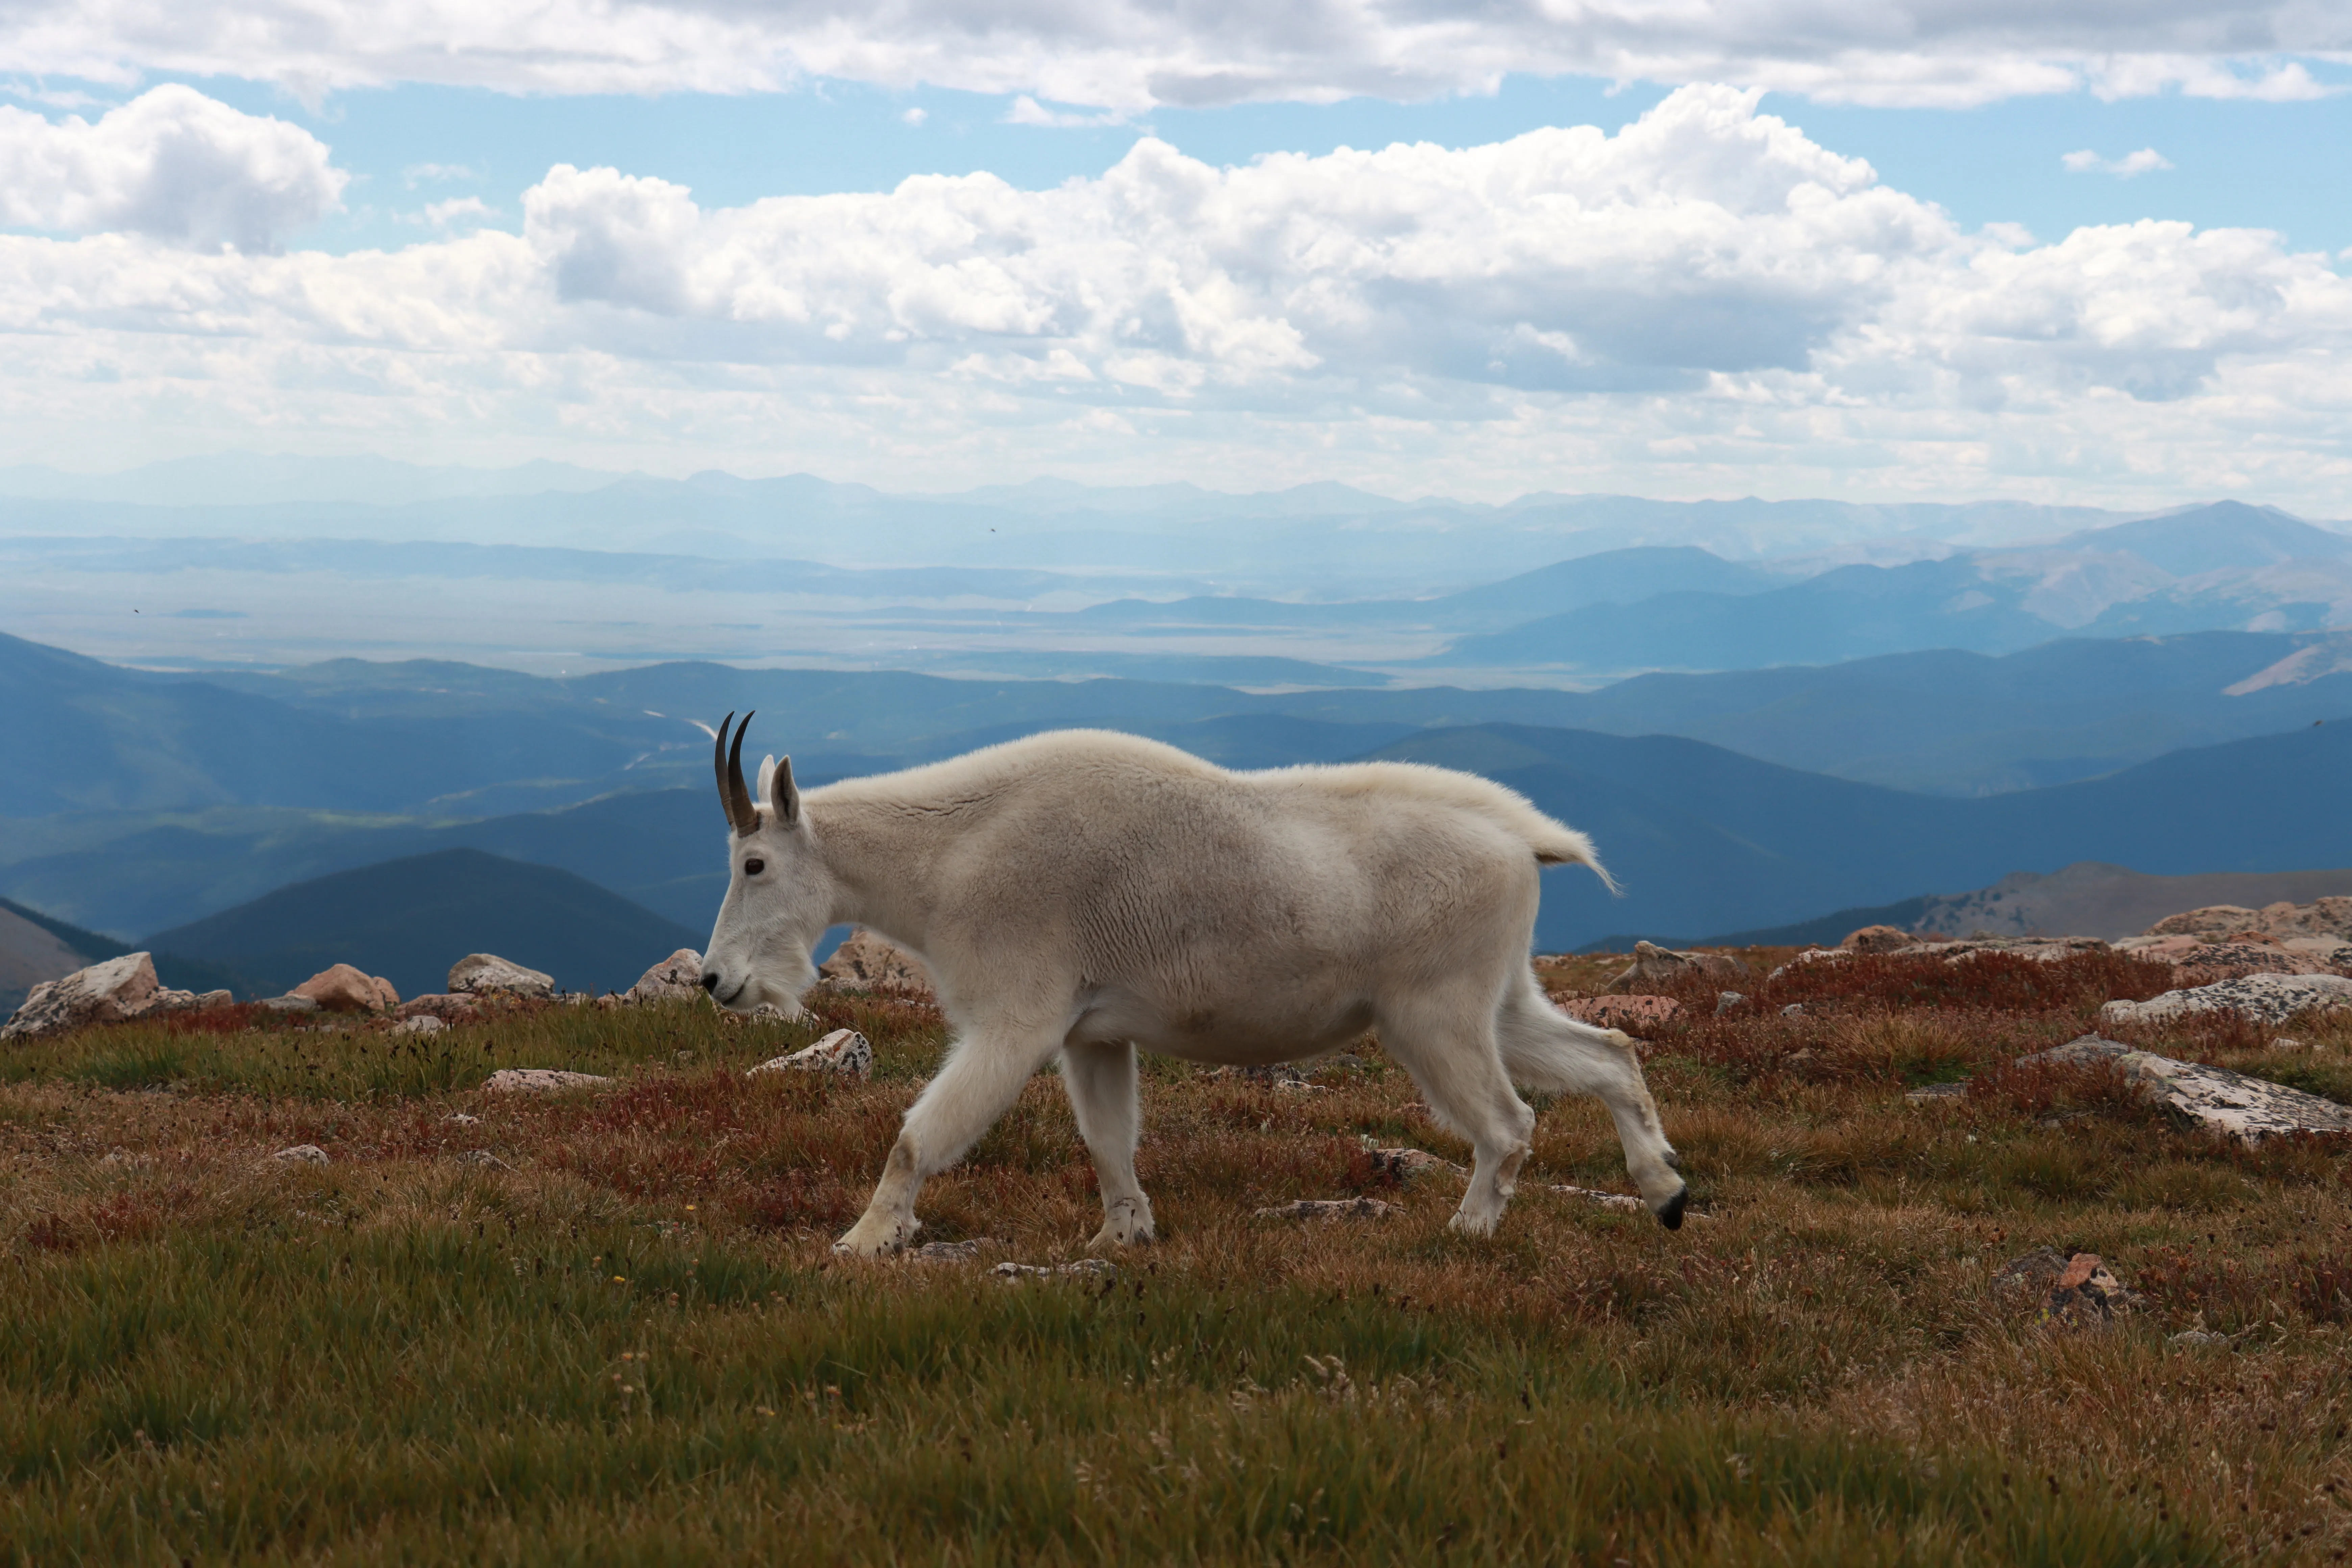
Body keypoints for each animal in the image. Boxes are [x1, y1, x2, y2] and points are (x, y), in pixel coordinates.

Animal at [699, 712, 1686, 1255]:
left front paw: (863, 1240)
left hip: (1432, 1010)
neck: (948, 855)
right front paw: (1121, 1234)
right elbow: (1107, 1140)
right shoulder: (1092, 1031)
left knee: (1509, 1121)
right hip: (1497, 993)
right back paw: (1666, 1191)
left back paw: (1471, 1229)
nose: (715, 981)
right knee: (1609, 1051)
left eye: (754, 862)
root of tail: (1523, 842)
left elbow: (917, 1137)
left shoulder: (1017, 1019)